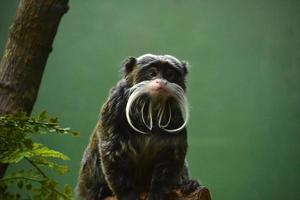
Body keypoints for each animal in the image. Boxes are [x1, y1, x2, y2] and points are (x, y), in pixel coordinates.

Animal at [77, 54, 199, 199]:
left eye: (169, 74)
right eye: (152, 73)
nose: (162, 82)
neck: (150, 110)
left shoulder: (175, 116)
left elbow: (171, 156)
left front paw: (157, 193)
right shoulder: (114, 105)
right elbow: (111, 151)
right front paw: (127, 195)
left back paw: (187, 184)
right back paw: (99, 189)